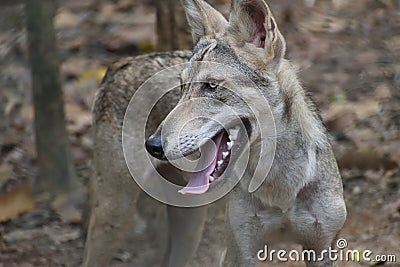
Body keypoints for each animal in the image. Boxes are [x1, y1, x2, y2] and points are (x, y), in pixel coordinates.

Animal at [85, 0, 346, 266]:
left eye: (211, 85)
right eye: (182, 86)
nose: (153, 145)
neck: (281, 187)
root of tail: (122, 64)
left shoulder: (323, 249)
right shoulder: (239, 252)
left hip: (188, 228)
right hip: (114, 214)